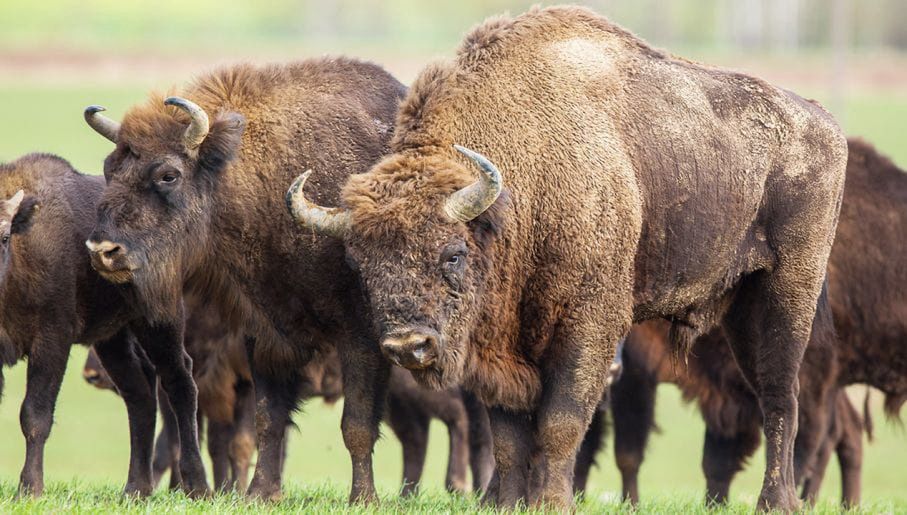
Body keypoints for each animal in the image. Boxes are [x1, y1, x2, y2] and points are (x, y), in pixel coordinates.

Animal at [83, 57, 410, 504]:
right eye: (109, 168)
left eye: (168, 175)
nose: (103, 251)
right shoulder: (266, 334)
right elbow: (267, 420)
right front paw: (259, 493)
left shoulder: (360, 336)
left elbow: (356, 424)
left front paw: (363, 498)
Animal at [292, 6, 852, 510]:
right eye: (361, 265)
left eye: (452, 254)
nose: (410, 346)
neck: (522, 187)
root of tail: (825, 123)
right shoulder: (499, 346)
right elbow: (509, 435)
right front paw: (507, 504)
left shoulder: (589, 326)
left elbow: (560, 423)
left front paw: (552, 503)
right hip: (738, 306)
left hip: (787, 290)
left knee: (781, 397)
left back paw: (777, 502)